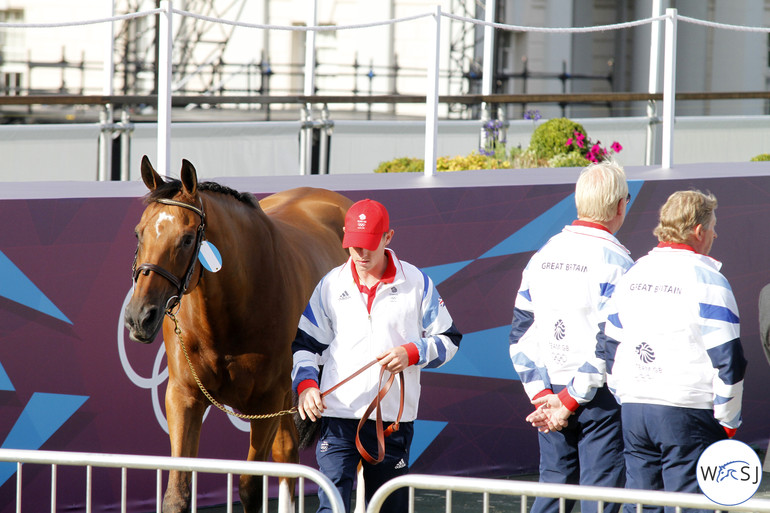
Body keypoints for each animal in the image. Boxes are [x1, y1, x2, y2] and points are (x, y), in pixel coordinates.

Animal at [124, 157, 352, 512]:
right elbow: (177, 494)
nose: (139, 316)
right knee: (288, 452)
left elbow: (250, 487)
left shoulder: (267, 400)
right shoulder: (183, 396)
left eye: (187, 239)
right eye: (139, 232)